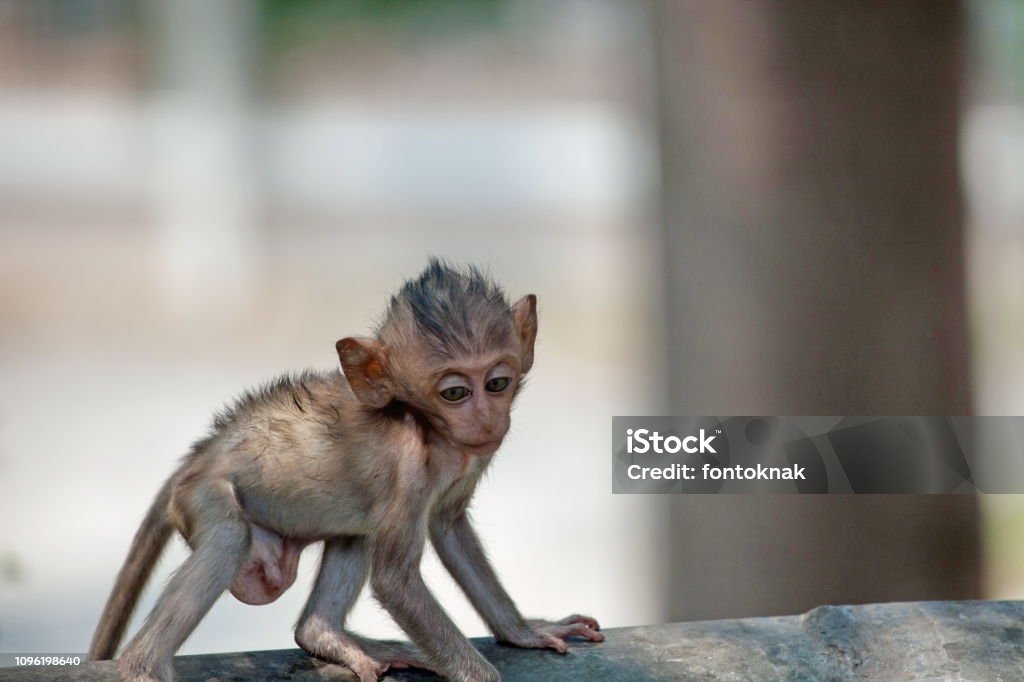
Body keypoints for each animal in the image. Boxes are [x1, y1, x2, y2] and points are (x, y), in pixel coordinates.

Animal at [90, 258, 598, 675]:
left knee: (356, 531)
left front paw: (524, 632)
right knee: (229, 537)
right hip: (201, 494)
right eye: (455, 392)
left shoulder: (472, 457)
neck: (432, 434)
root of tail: (200, 454)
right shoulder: (408, 470)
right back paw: (141, 667)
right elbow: (395, 581)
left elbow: (450, 528)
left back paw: (324, 634)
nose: (487, 419)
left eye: (497, 383)